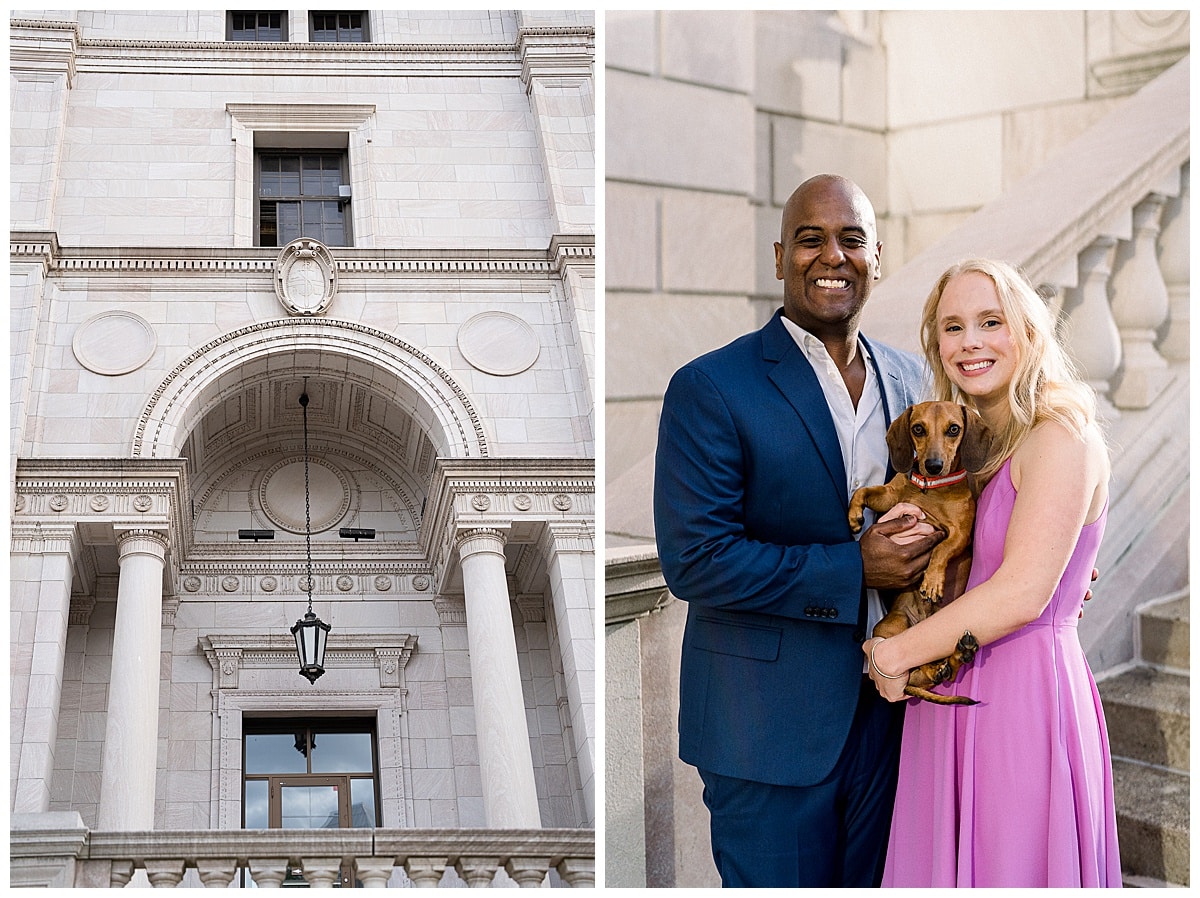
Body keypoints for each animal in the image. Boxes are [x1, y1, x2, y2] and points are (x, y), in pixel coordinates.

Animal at [854, 403, 993, 705]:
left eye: (953, 429)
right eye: (918, 428)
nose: (933, 465)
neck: (929, 490)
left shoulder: (959, 534)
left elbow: (941, 549)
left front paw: (931, 582)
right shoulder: (889, 497)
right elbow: (865, 491)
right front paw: (854, 515)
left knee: (936, 672)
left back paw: (956, 657)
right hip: (892, 625)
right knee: (918, 672)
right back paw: (947, 662)